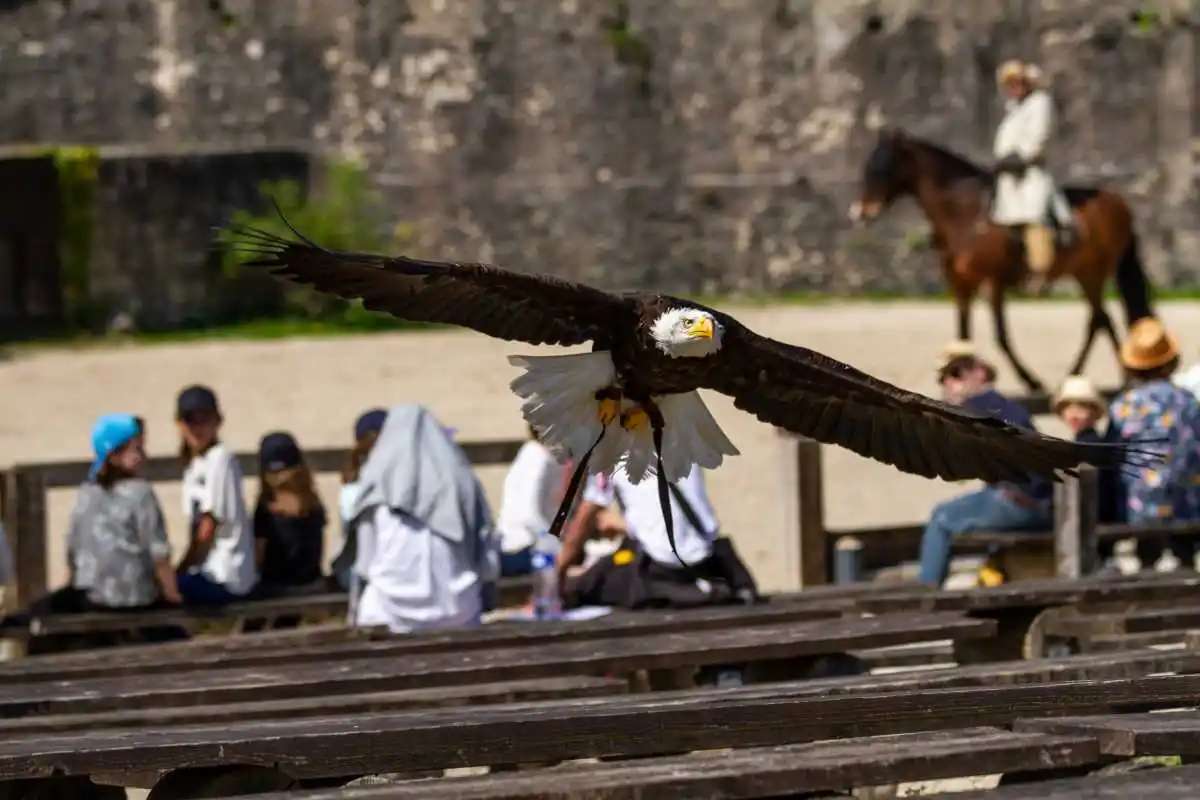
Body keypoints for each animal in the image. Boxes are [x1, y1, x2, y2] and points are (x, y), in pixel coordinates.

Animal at [849, 125, 1147, 398]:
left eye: (883, 167)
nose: (860, 212)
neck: (964, 214)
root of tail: (1117, 201)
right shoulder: (960, 283)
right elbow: (963, 335)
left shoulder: (992, 282)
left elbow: (1000, 335)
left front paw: (1032, 382)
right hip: (1084, 273)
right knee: (1102, 319)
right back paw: (1113, 376)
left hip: (1092, 273)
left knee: (1097, 319)